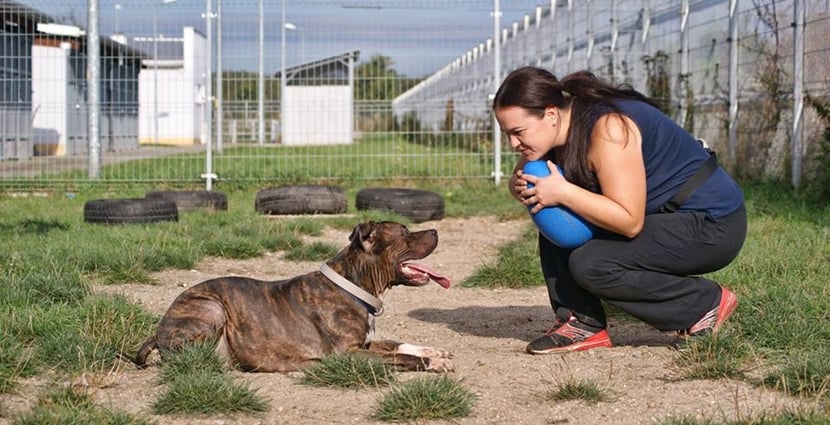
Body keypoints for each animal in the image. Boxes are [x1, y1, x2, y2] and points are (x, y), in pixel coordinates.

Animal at [122, 220, 456, 372]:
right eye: (405, 233)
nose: (436, 231)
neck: (353, 284)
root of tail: (159, 330)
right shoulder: (349, 354)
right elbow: (401, 357)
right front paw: (431, 363)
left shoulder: (365, 344)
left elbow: (399, 344)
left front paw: (434, 352)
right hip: (212, 308)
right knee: (190, 359)